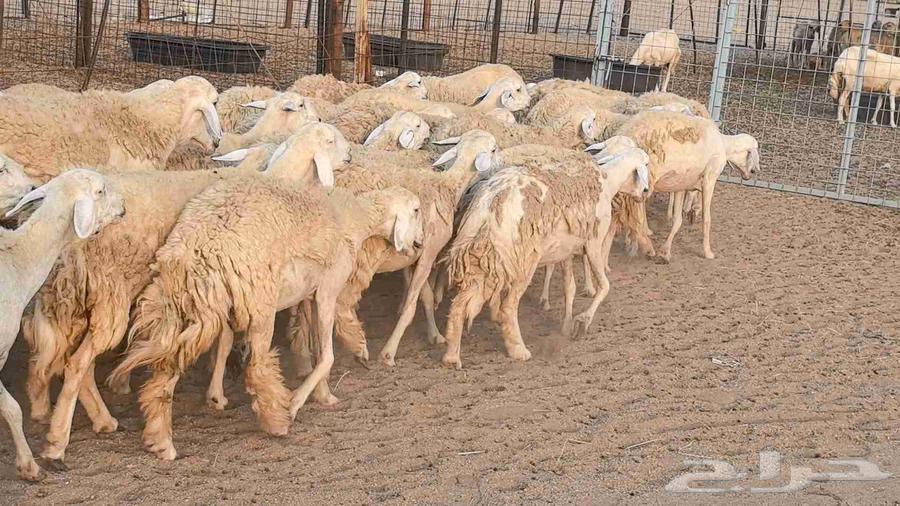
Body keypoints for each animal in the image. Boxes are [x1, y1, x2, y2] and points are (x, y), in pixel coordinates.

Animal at [25, 123, 351, 464]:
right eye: (331, 140)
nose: (351, 156)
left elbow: (224, 341)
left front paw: (217, 395)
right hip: (110, 297)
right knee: (78, 364)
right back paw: (59, 441)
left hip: (71, 302)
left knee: (70, 362)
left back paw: (98, 420)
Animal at [107, 178, 423, 460]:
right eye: (417, 209)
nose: (420, 244)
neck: (351, 215)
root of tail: (196, 248)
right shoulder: (327, 289)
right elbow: (327, 356)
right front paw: (297, 401)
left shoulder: (299, 296)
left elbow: (301, 349)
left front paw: (323, 395)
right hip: (261, 304)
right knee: (257, 368)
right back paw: (277, 422)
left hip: (190, 305)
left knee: (165, 370)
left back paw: (162, 442)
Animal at [440, 147, 650, 369]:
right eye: (645, 164)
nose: (645, 191)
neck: (609, 181)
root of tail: (491, 205)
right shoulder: (593, 242)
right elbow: (604, 286)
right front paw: (582, 322)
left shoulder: (566, 250)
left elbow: (570, 288)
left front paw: (566, 325)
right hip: (522, 260)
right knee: (508, 306)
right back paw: (518, 350)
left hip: (483, 257)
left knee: (459, 304)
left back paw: (451, 356)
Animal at [614, 111, 759, 262]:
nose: (754, 172)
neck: (724, 145)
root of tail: (627, 132)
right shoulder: (709, 179)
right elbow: (707, 219)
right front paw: (708, 252)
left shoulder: (681, 184)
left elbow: (677, 220)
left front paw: (665, 251)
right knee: (636, 215)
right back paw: (643, 244)